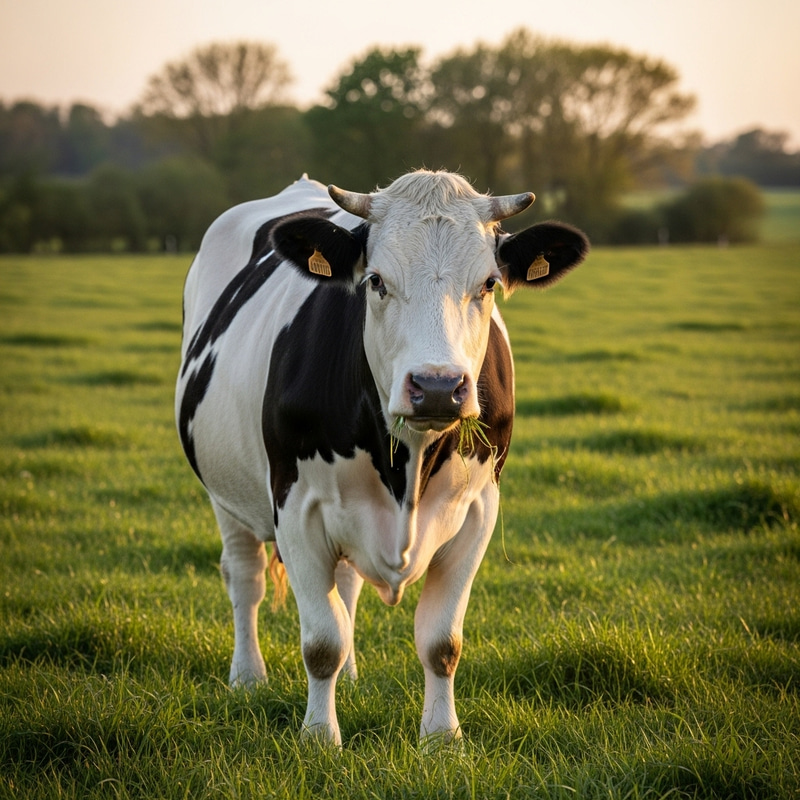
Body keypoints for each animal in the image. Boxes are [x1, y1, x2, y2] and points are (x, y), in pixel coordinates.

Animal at [176, 170, 588, 746]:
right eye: (375, 281)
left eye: (488, 283)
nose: (437, 387)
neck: (407, 469)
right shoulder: (296, 509)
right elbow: (321, 641)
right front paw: (319, 738)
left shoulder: (479, 510)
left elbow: (441, 641)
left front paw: (441, 739)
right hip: (226, 496)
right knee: (245, 578)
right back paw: (248, 678)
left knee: (345, 586)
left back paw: (349, 678)